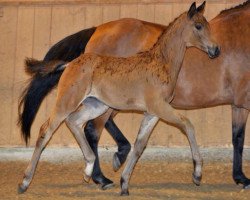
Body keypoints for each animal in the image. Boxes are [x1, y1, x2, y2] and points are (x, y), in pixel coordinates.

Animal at [18, 0, 250, 190]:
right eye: (199, 26)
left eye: (208, 25)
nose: (215, 50)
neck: (160, 62)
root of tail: (71, 63)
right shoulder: (162, 107)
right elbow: (191, 126)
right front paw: (200, 173)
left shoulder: (153, 113)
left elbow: (140, 145)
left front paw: (125, 182)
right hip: (69, 102)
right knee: (51, 130)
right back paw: (28, 181)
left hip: (96, 105)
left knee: (76, 123)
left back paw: (92, 169)